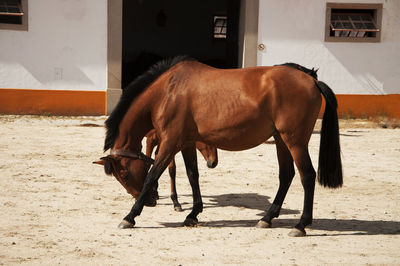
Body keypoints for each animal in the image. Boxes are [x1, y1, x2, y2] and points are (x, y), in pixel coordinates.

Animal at [95, 56, 342, 237]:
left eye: (124, 174)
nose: (150, 201)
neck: (167, 91)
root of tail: (311, 80)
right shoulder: (186, 143)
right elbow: (192, 175)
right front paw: (193, 214)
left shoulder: (170, 142)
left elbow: (152, 175)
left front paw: (130, 217)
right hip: (281, 140)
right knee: (287, 175)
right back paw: (267, 218)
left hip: (295, 141)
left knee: (307, 176)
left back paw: (300, 225)